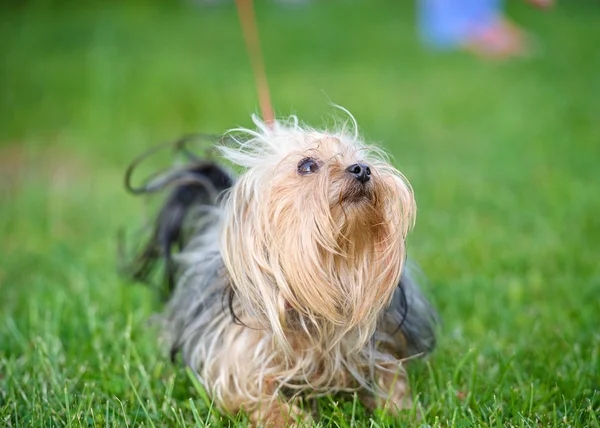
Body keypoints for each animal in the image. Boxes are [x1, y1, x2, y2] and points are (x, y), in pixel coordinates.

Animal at [126, 112, 436, 426]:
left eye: (361, 157)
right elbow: (255, 395)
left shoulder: (382, 342)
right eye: (307, 165)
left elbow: (392, 378)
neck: (331, 273)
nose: (362, 169)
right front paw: (291, 419)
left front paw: (404, 411)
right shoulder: (237, 357)